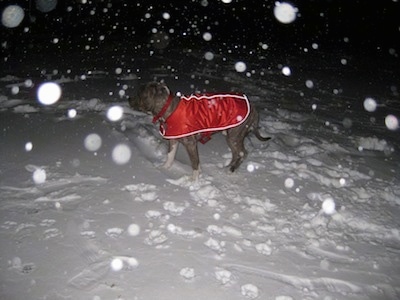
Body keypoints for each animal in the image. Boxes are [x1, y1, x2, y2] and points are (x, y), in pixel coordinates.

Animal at [130, 82, 270, 179]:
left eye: (139, 94)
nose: (128, 99)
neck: (168, 108)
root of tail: (253, 107)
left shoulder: (190, 144)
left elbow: (195, 163)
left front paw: (194, 181)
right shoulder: (173, 140)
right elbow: (170, 156)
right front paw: (164, 169)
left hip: (234, 135)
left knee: (242, 153)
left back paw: (231, 170)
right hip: (231, 135)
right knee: (236, 153)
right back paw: (228, 167)